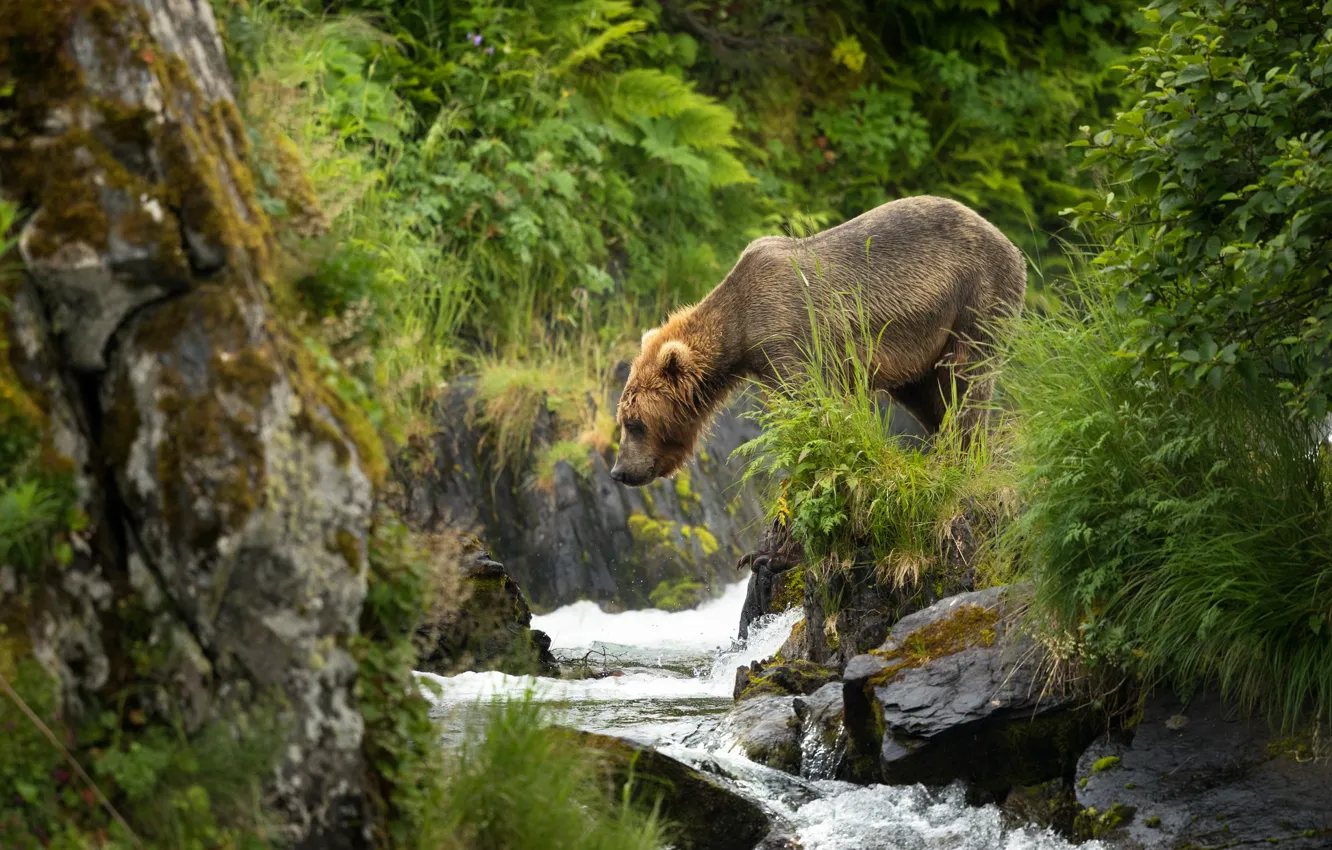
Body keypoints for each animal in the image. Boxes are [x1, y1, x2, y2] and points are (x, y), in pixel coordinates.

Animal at [610, 194, 1022, 484]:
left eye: (634, 423)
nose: (619, 471)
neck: (739, 329)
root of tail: (1009, 242)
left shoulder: (788, 333)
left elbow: (816, 405)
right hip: (923, 342)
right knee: (928, 395)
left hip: (975, 296)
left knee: (966, 378)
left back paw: (966, 453)